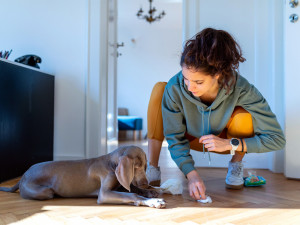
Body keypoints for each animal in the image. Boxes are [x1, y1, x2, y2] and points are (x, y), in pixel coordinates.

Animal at [0, 145, 165, 208]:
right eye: (135, 167)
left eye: (144, 166)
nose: (145, 182)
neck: (110, 164)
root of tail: (24, 175)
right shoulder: (104, 193)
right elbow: (131, 194)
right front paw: (152, 201)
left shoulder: (120, 184)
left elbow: (132, 189)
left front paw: (151, 191)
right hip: (45, 191)